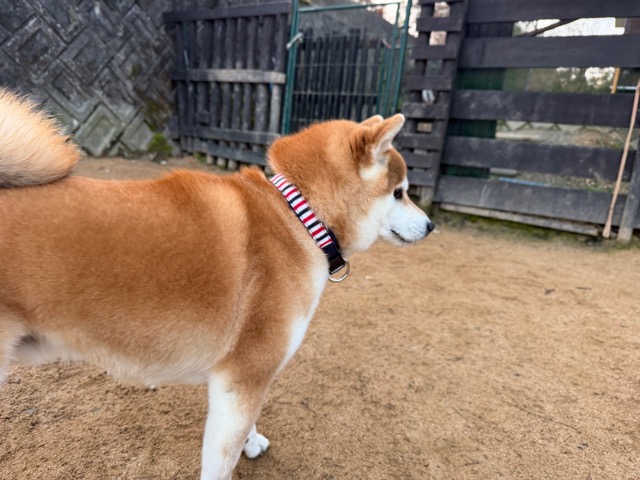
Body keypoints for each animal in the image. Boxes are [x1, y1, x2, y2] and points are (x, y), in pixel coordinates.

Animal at [0, 88, 434, 479]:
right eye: (400, 193)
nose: (432, 225)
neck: (297, 217)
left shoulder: (239, 382)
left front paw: (252, 441)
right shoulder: (244, 375)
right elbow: (220, 462)